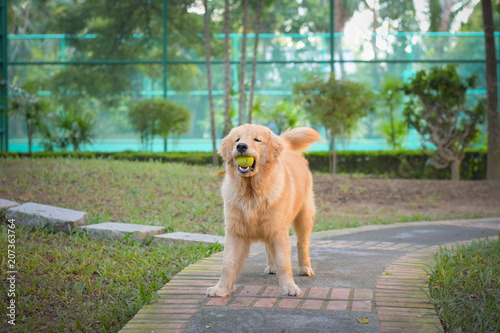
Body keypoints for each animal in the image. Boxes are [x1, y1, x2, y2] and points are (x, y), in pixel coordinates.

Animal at [207, 124, 324, 296]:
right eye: (237, 139)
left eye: (257, 139)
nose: (241, 147)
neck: (251, 192)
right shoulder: (235, 232)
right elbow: (228, 263)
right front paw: (220, 289)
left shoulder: (278, 230)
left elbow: (284, 262)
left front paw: (289, 287)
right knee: (269, 246)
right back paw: (272, 267)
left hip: (304, 215)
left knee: (302, 242)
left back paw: (304, 268)